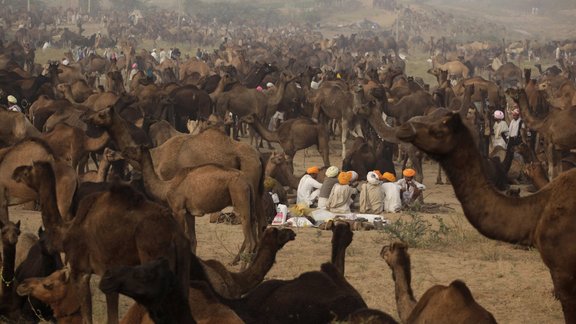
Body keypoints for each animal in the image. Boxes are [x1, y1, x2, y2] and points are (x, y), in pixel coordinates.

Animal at [11, 161, 191, 324]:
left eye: (27, 171)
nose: (15, 173)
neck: (66, 230)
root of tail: (175, 233)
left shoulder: (81, 271)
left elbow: (89, 316)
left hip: (153, 255)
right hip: (182, 267)